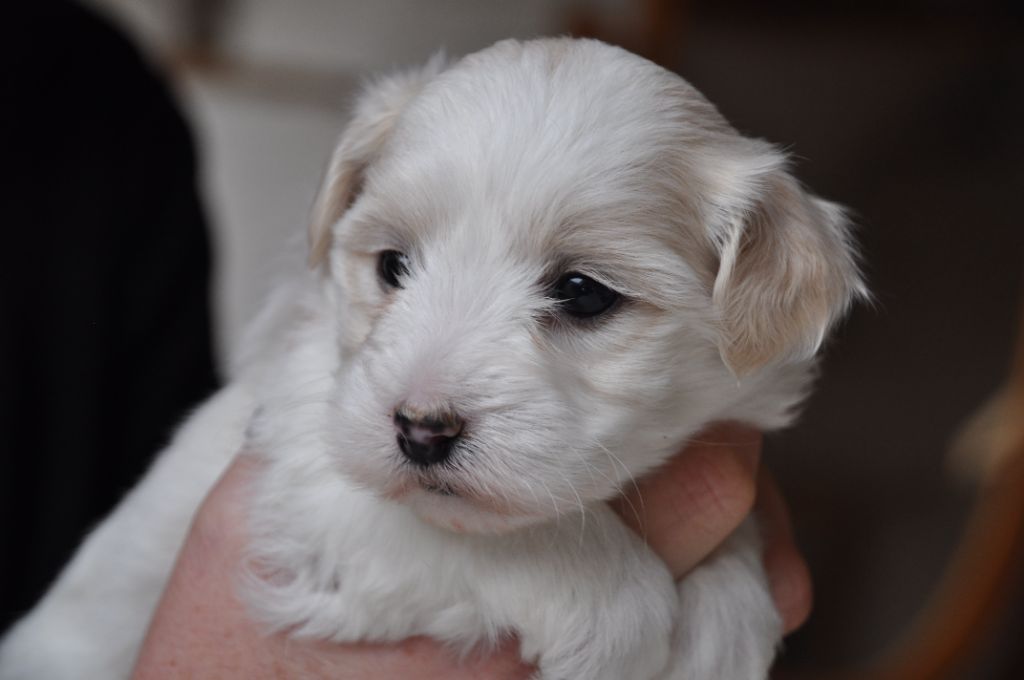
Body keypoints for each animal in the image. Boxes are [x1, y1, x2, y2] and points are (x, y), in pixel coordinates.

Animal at [0, 38, 864, 680]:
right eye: (392, 266)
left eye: (583, 293)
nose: (419, 431)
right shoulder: (315, 480)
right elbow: (479, 534)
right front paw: (621, 608)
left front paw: (727, 613)